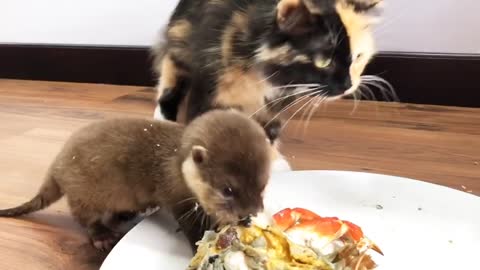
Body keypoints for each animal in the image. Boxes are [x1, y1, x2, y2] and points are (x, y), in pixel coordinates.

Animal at [0, 109, 272, 251]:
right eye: (227, 189)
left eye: (263, 185)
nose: (250, 212)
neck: (177, 166)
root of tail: (57, 165)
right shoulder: (175, 195)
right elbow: (191, 226)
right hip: (84, 194)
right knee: (85, 218)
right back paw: (102, 235)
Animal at [152, 0, 384, 171]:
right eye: (324, 62)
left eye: (358, 57)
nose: (348, 85)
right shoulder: (209, 84)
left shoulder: (276, 100)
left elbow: (268, 130)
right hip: (181, 47)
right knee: (170, 85)